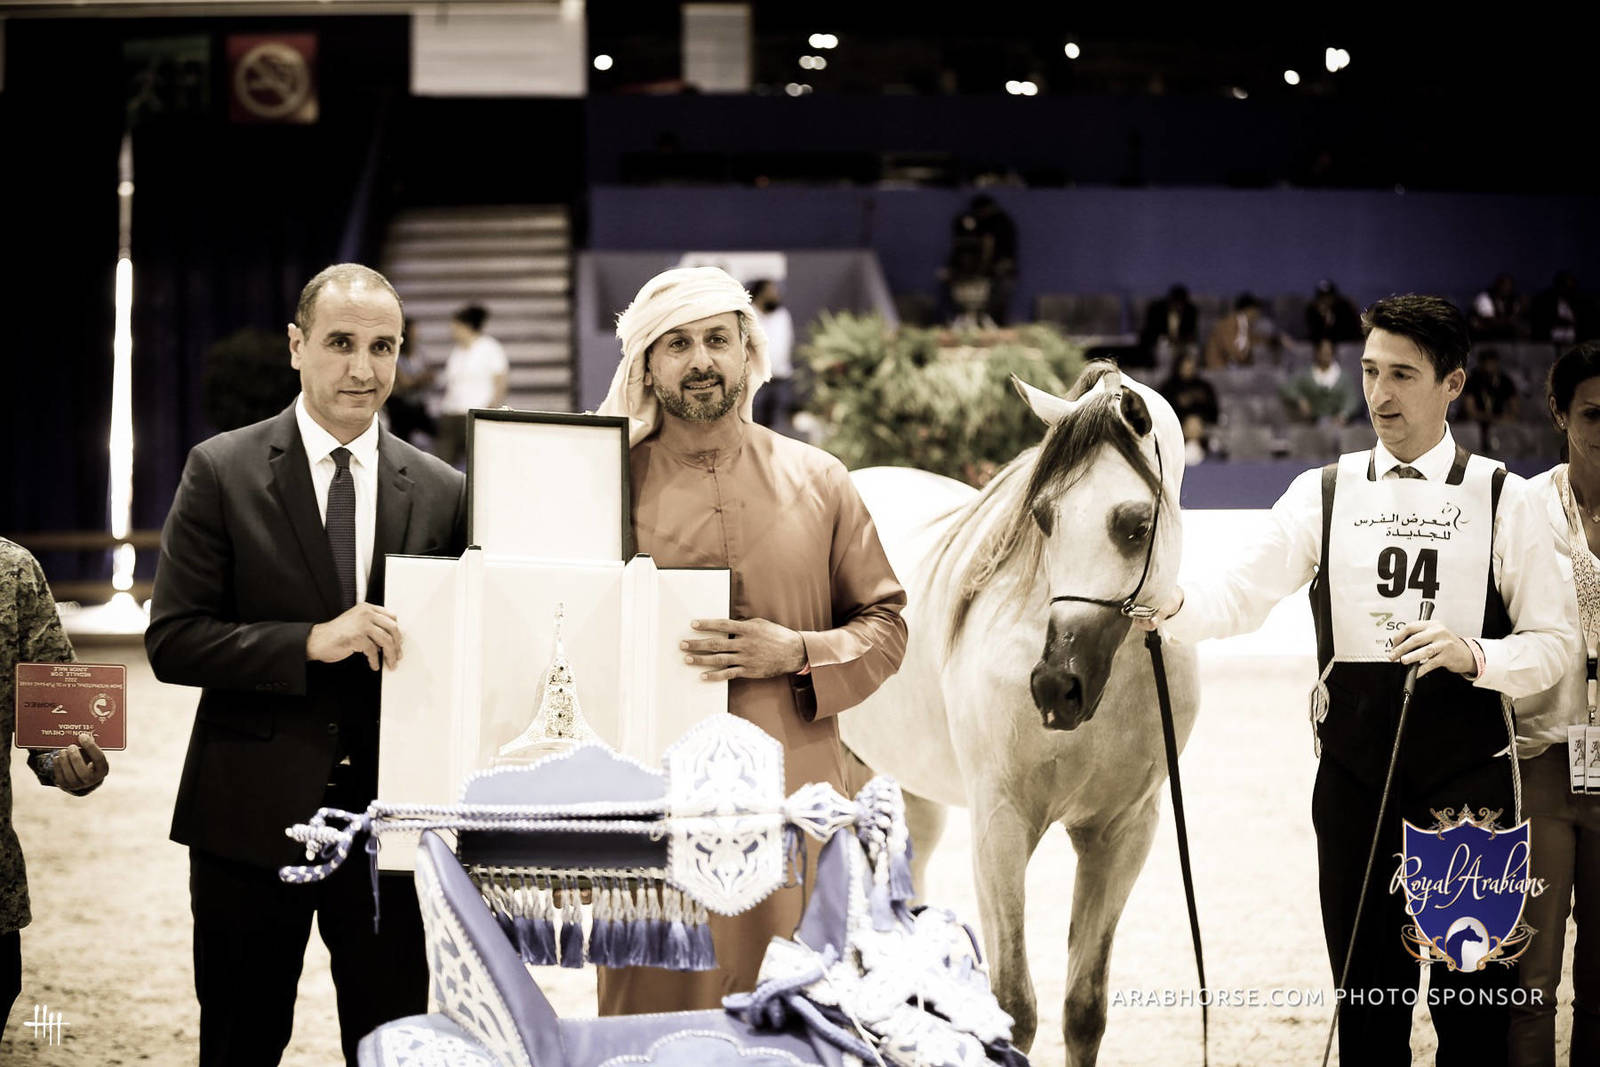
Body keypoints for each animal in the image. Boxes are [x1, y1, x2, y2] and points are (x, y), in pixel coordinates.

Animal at [840, 361, 1200, 1065]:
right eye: (1045, 516)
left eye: (1136, 524)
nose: (1057, 687)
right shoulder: (1000, 825)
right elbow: (1014, 1007)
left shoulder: (1122, 833)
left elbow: (1084, 1008)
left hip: (913, 794)